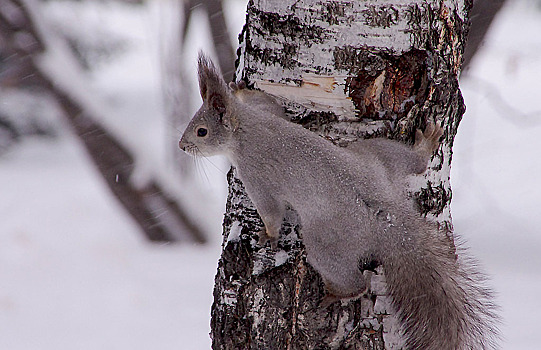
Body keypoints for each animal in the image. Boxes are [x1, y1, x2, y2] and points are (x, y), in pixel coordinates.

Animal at [178, 54, 498, 350]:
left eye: (201, 131)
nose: (182, 146)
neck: (246, 129)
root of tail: (389, 219)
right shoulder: (267, 114)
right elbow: (271, 104)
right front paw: (241, 89)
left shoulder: (257, 176)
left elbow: (271, 211)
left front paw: (268, 234)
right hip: (376, 155)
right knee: (414, 163)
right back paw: (425, 145)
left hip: (326, 243)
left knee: (356, 283)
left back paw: (336, 293)